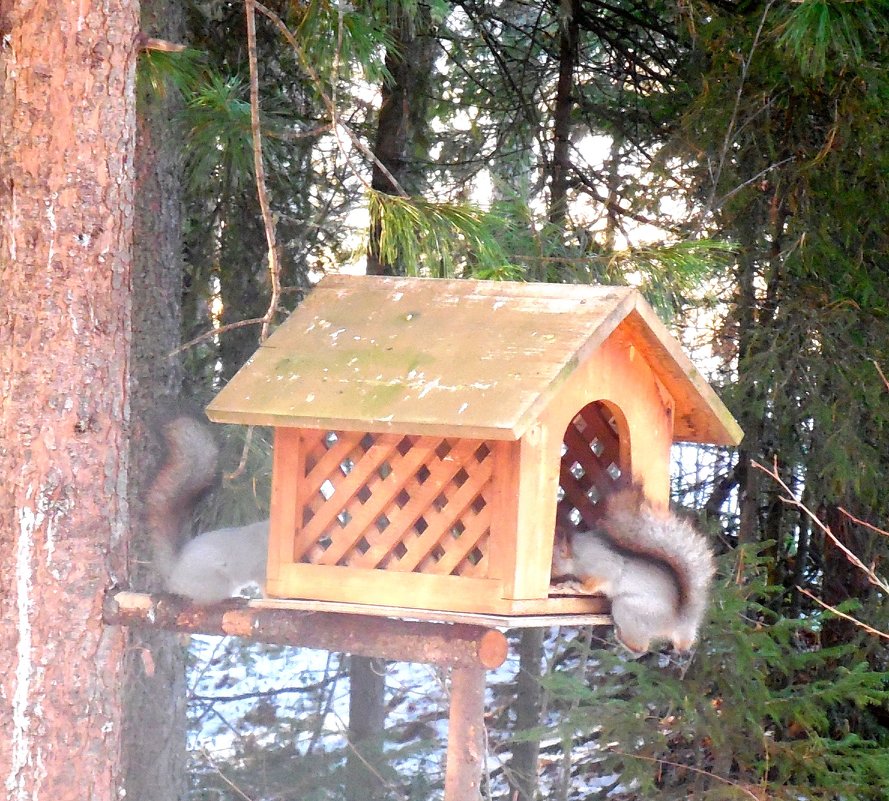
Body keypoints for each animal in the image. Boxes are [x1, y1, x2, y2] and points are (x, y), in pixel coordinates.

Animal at [548, 484, 716, 652]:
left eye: (552, 563)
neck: (576, 554)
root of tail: (678, 624)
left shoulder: (601, 564)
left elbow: (596, 582)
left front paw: (576, 586)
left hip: (630, 609)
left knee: (640, 647)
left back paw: (621, 637)